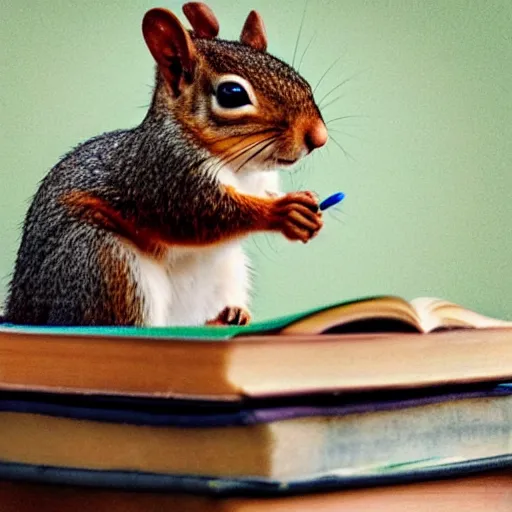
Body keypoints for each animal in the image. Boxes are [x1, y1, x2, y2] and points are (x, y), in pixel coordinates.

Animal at [4, 2, 328, 326]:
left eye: (297, 77)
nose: (319, 137)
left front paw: (308, 208)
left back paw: (228, 315)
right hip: (101, 263)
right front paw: (284, 211)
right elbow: (203, 215)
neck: (241, 167)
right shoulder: (165, 174)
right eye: (232, 94)